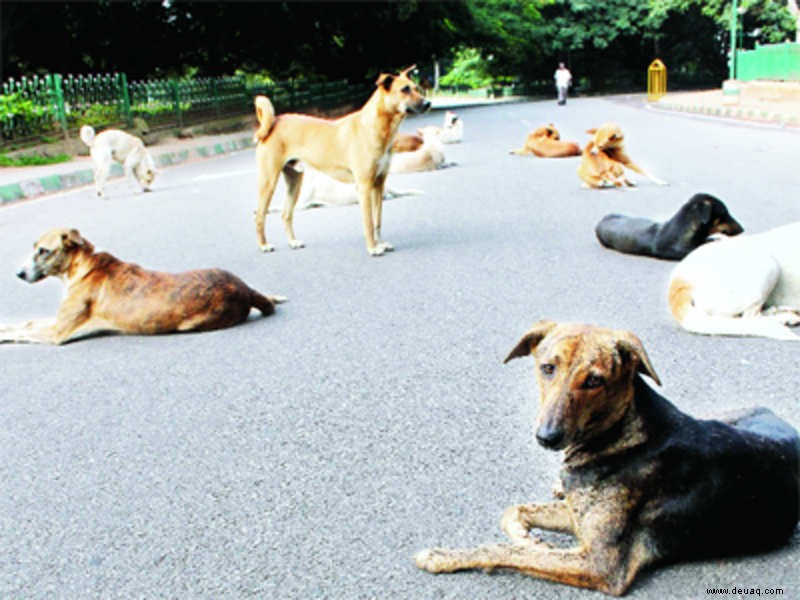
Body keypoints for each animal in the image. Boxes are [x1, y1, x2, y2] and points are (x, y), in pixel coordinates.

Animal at [0, 227, 288, 344]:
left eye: (43, 251)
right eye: (34, 248)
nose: (18, 274)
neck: (84, 264)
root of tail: (244, 289)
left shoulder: (57, 333)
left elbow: (24, 331)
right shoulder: (56, 323)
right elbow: (27, 323)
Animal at [256, 66, 432, 258]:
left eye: (416, 88)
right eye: (404, 90)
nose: (428, 103)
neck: (374, 126)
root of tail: (274, 121)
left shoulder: (378, 184)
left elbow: (377, 220)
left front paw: (381, 243)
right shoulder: (364, 186)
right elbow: (369, 222)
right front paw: (373, 248)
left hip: (294, 181)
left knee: (285, 214)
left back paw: (293, 242)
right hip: (268, 182)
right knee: (259, 215)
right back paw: (264, 245)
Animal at [416, 318, 796, 596]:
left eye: (594, 381)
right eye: (548, 368)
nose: (547, 438)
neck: (619, 435)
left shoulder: (602, 564)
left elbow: (506, 550)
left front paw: (444, 556)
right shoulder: (577, 515)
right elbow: (515, 512)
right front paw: (529, 535)